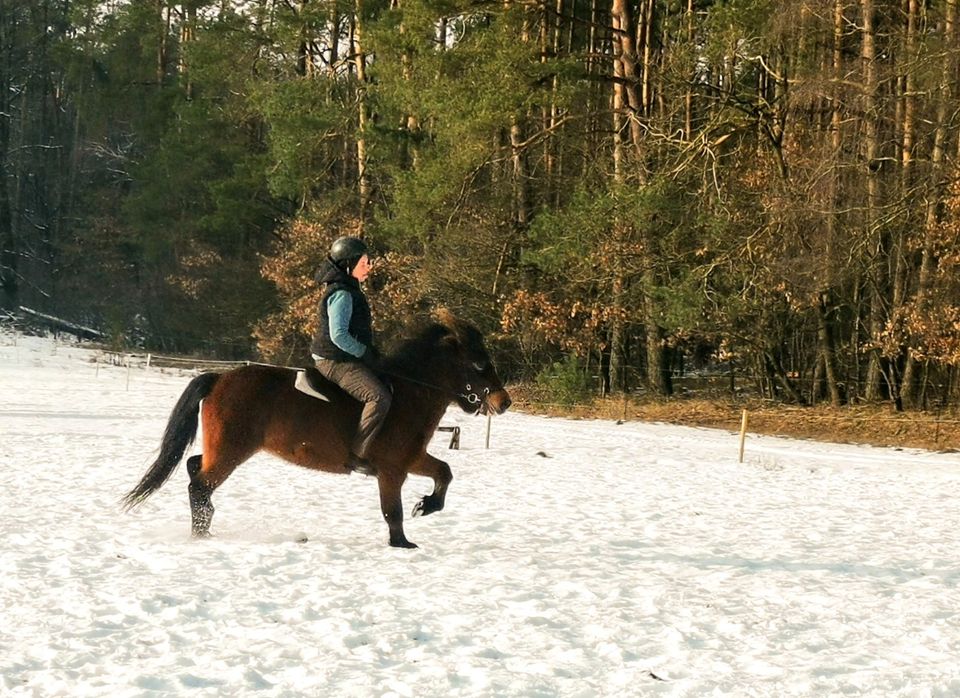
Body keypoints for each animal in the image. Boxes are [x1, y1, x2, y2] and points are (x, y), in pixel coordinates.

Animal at [124, 312, 512, 548]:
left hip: (226, 448)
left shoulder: (411, 458)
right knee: (200, 484)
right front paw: (402, 543)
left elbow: (444, 473)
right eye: (480, 364)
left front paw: (426, 506)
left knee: (194, 468)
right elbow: (393, 510)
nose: (504, 401)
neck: (408, 391)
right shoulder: (392, 469)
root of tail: (221, 378)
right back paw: (202, 531)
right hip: (231, 450)